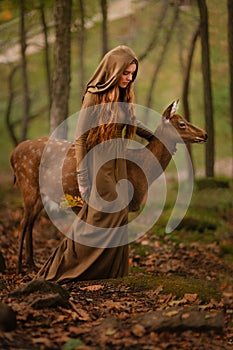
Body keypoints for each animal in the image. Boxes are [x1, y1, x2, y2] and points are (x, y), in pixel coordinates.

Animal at [10, 100, 208, 272]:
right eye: (181, 124)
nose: (205, 134)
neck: (141, 171)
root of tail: (13, 155)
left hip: (41, 193)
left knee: (31, 222)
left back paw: (32, 264)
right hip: (27, 183)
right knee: (23, 222)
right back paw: (19, 267)